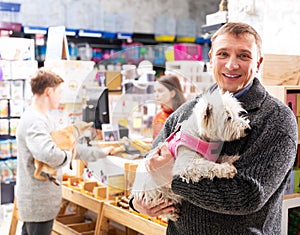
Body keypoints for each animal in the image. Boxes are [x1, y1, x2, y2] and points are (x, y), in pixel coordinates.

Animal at [132, 89, 251, 221]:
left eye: (237, 113)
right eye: (229, 117)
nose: (247, 129)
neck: (201, 136)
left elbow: (219, 158)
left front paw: (232, 158)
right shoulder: (187, 165)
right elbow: (208, 166)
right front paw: (226, 169)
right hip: (155, 192)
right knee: (161, 206)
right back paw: (172, 214)